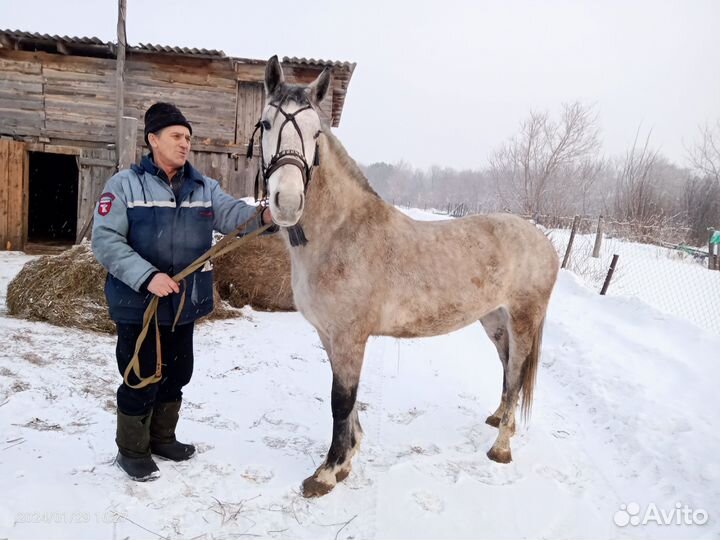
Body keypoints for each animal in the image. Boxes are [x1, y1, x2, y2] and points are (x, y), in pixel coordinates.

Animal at [254, 56, 559, 497]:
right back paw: (501, 421)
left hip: (522, 319)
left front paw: (327, 472)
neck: (341, 233)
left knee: (517, 374)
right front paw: (347, 459)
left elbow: (340, 400)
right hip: (494, 319)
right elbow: (349, 398)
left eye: (316, 133)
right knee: (507, 369)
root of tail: (544, 242)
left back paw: (500, 448)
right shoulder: (330, 335)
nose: (288, 201)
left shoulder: (349, 336)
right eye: (265, 124)